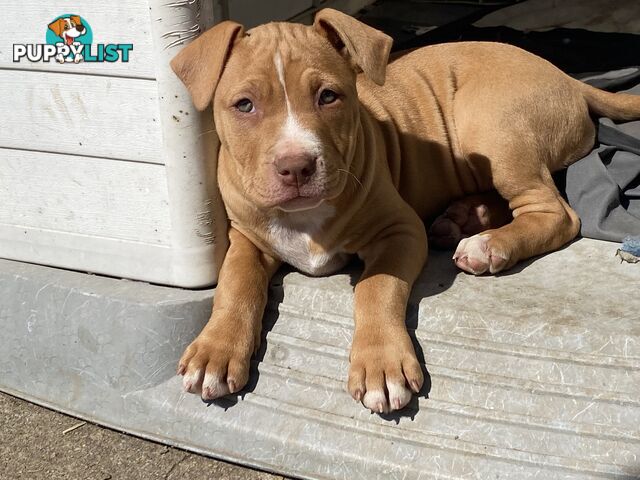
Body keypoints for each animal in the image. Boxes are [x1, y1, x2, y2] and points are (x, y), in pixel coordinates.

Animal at [170, 8, 640, 412]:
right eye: (244, 105)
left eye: (328, 96)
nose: (296, 166)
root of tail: (568, 77)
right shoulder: (246, 238)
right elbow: (236, 283)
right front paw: (215, 352)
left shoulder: (399, 230)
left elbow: (376, 286)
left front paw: (380, 365)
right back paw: (464, 219)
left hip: (492, 123)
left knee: (557, 213)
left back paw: (488, 244)